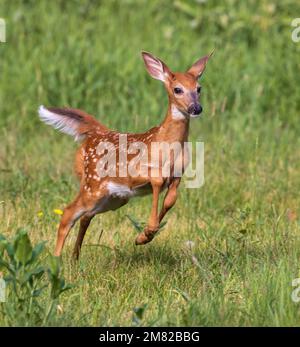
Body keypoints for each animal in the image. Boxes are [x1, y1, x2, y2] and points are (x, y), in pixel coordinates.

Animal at [38, 51, 212, 258]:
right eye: (177, 89)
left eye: (199, 88)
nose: (196, 108)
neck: (167, 147)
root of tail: (96, 133)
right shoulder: (135, 171)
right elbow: (157, 181)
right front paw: (147, 232)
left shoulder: (178, 174)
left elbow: (170, 200)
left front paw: (144, 236)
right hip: (93, 185)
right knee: (68, 213)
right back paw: (57, 260)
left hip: (114, 198)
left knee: (85, 216)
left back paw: (74, 258)